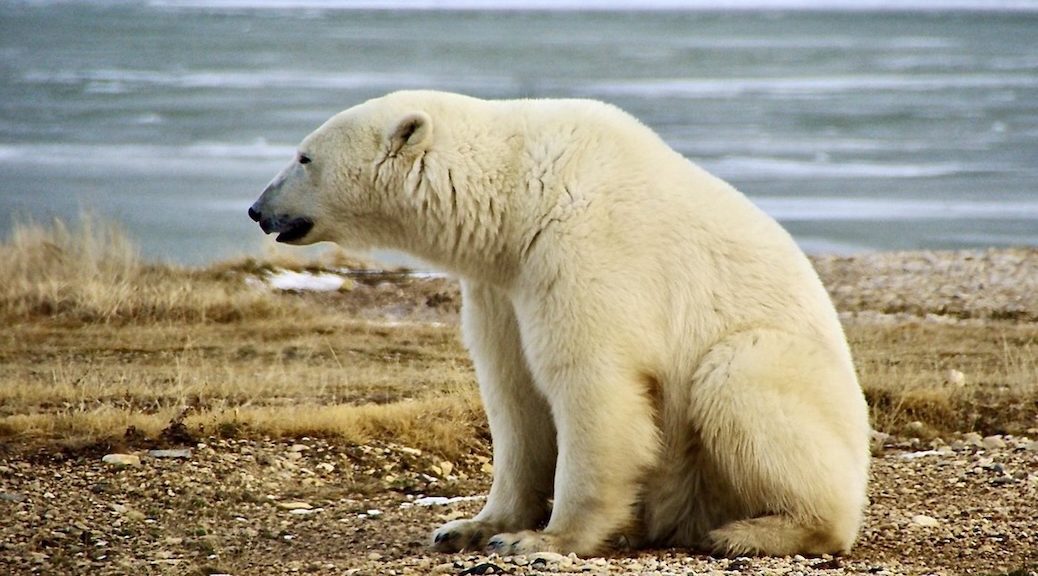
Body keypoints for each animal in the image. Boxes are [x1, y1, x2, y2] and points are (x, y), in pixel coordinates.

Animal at [248, 90, 871, 558]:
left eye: (303, 157)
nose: (257, 210)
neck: (518, 193)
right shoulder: (503, 284)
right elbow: (513, 394)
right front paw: (468, 526)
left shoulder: (584, 248)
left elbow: (592, 385)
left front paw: (541, 540)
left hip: (791, 388)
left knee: (740, 377)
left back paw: (754, 532)